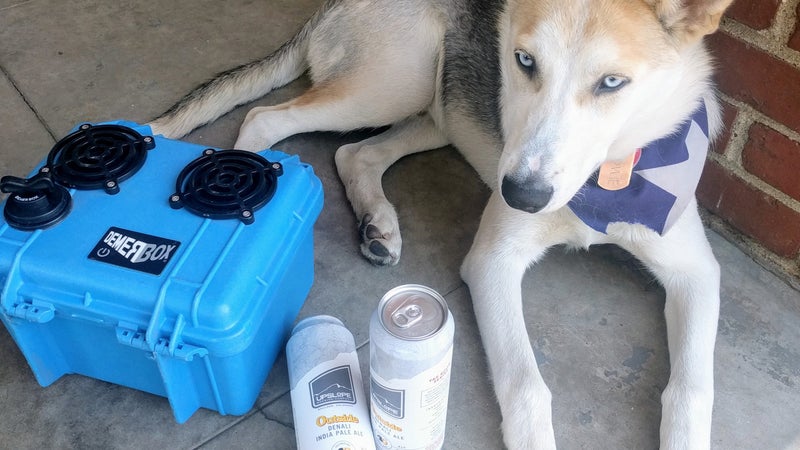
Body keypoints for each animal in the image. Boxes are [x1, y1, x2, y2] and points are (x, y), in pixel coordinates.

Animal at [148, 0, 732, 444]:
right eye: (523, 60)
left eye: (612, 82)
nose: (519, 194)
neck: (605, 181)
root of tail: (326, 7)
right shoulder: (493, 263)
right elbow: (526, 385)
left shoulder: (697, 273)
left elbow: (693, 389)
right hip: (394, 80)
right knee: (267, 119)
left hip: (437, 110)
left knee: (356, 153)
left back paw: (377, 225)